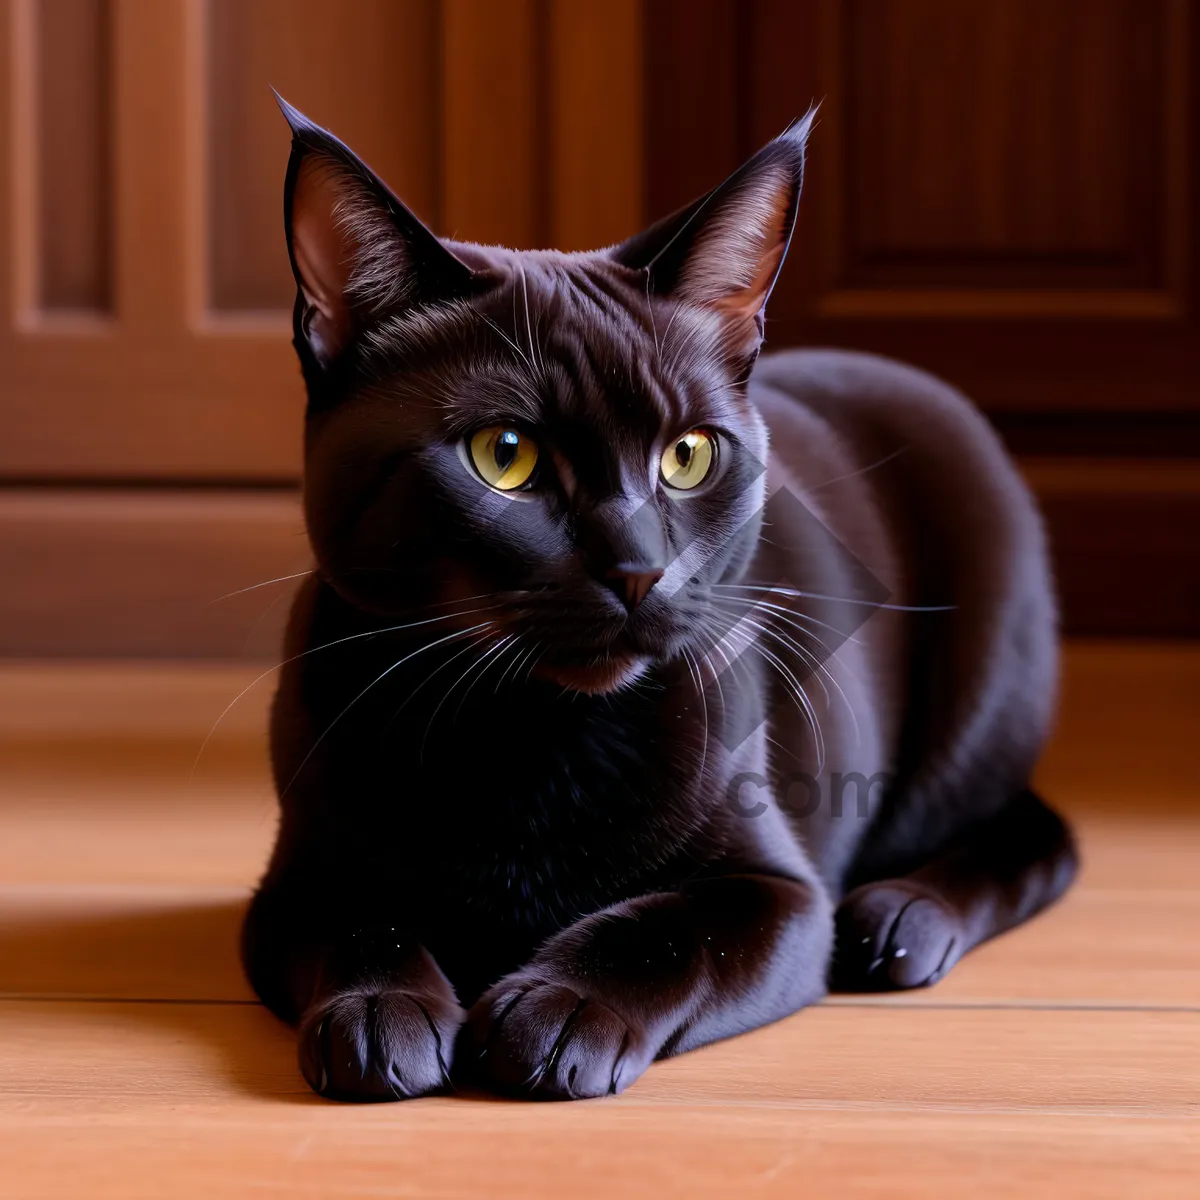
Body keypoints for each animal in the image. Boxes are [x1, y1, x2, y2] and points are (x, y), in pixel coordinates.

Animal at [241, 98, 1080, 1099]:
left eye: (688, 456)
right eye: (503, 455)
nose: (639, 569)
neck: (530, 740)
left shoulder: (781, 894)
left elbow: (668, 928)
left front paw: (557, 1012)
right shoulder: (294, 881)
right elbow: (360, 918)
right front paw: (380, 1013)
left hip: (981, 693)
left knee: (1030, 831)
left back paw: (904, 919)